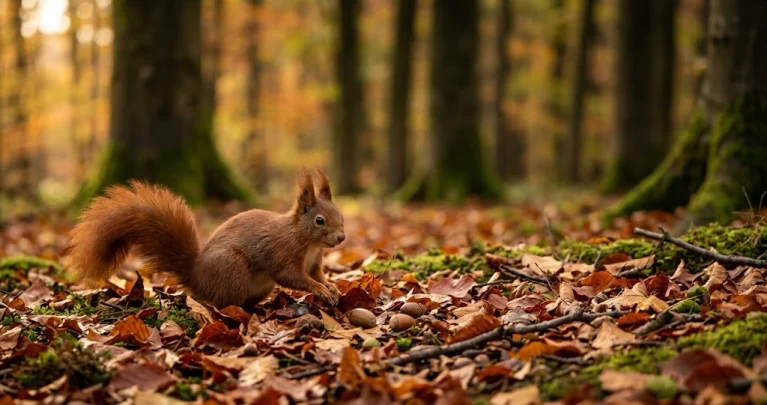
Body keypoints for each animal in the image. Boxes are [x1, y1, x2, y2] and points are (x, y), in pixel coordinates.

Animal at [64, 168, 345, 309]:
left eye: (340, 214)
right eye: (319, 220)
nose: (341, 237)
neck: (306, 240)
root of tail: (196, 277)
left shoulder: (314, 261)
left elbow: (317, 274)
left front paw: (331, 287)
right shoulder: (282, 254)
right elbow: (293, 277)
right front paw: (320, 289)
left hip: (260, 285)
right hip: (231, 268)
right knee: (222, 302)